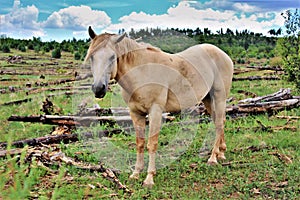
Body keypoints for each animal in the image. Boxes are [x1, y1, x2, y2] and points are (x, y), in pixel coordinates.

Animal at [85, 25, 234, 187]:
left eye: (112, 57)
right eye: (92, 57)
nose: (98, 88)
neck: (142, 72)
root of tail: (223, 54)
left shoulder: (155, 111)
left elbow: (152, 143)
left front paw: (149, 178)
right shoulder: (135, 113)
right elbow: (140, 143)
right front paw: (135, 174)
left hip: (219, 97)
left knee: (219, 123)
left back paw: (213, 158)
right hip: (207, 99)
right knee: (219, 121)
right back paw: (221, 153)